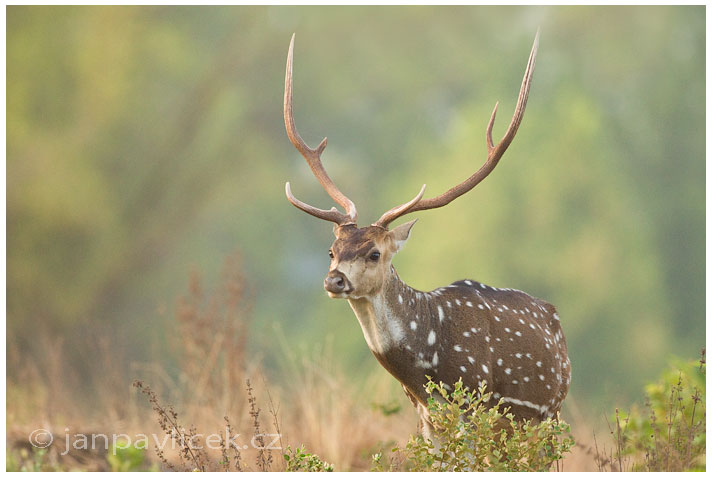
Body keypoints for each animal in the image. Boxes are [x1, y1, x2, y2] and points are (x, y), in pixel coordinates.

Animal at [280, 31, 572, 438]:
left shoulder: (471, 402)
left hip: (546, 414)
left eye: (375, 253)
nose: (334, 280)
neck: (424, 371)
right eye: (332, 250)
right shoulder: (424, 416)